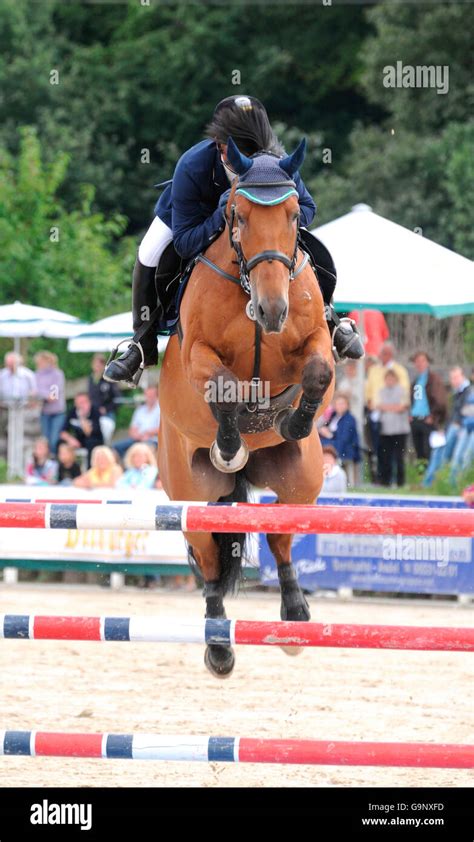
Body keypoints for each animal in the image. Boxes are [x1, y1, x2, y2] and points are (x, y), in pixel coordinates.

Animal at [158, 138, 334, 676]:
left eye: (295, 214)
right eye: (237, 215)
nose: (273, 310)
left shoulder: (315, 342)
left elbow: (318, 371)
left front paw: (294, 420)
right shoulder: (197, 354)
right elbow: (224, 388)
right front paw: (229, 445)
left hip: (302, 479)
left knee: (280, 536)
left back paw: (295, 617)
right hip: (190, 495)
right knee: (211, 562)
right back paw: (219, 646)